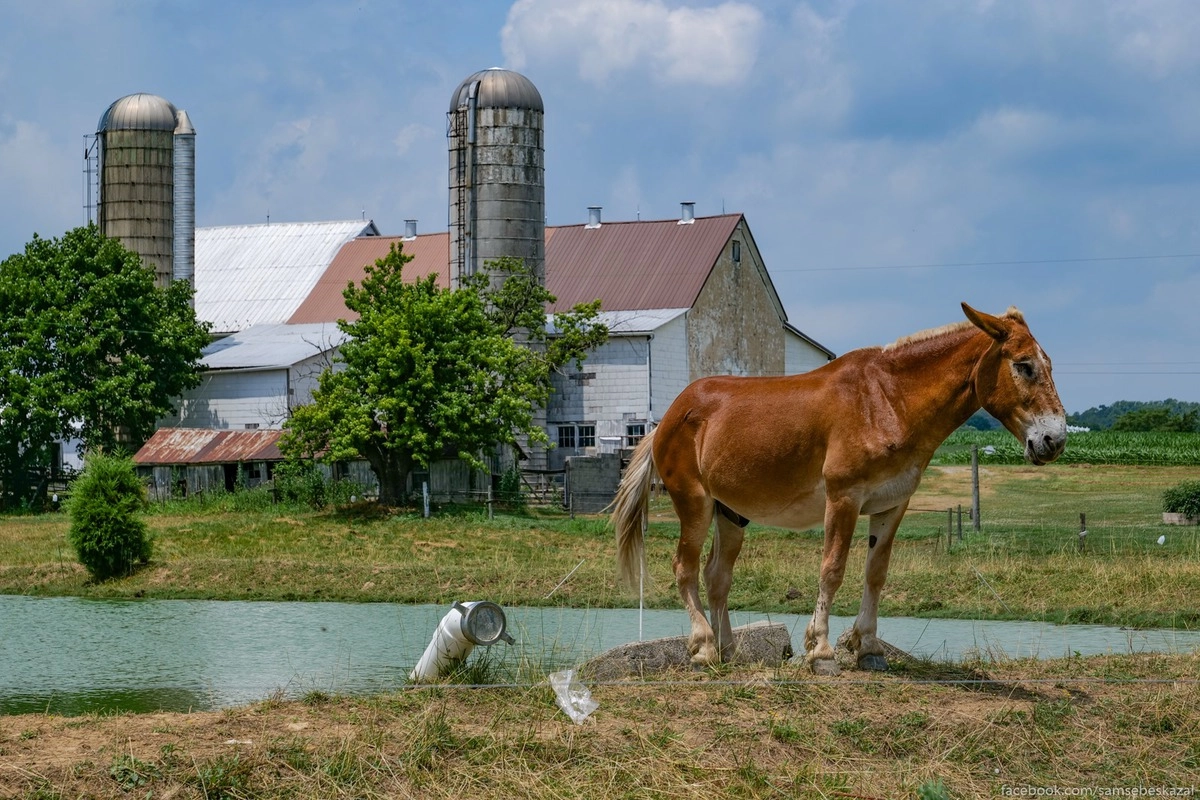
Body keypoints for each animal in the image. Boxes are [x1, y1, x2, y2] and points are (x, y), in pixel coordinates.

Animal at [611, 303, 1067, 675]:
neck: (888, 400)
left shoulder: (891, 506)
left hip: (730, 514)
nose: (1055, 440)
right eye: (1024, 365)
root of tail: (669, 418)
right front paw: (822, 650)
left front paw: (868, 648)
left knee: (717, 576)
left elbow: (875, 574)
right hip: (695, 505)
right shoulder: (843, 500)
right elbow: (832, 570)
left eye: (1047, 364)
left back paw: (728, 650)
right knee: (685, 570)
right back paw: (704, 648)